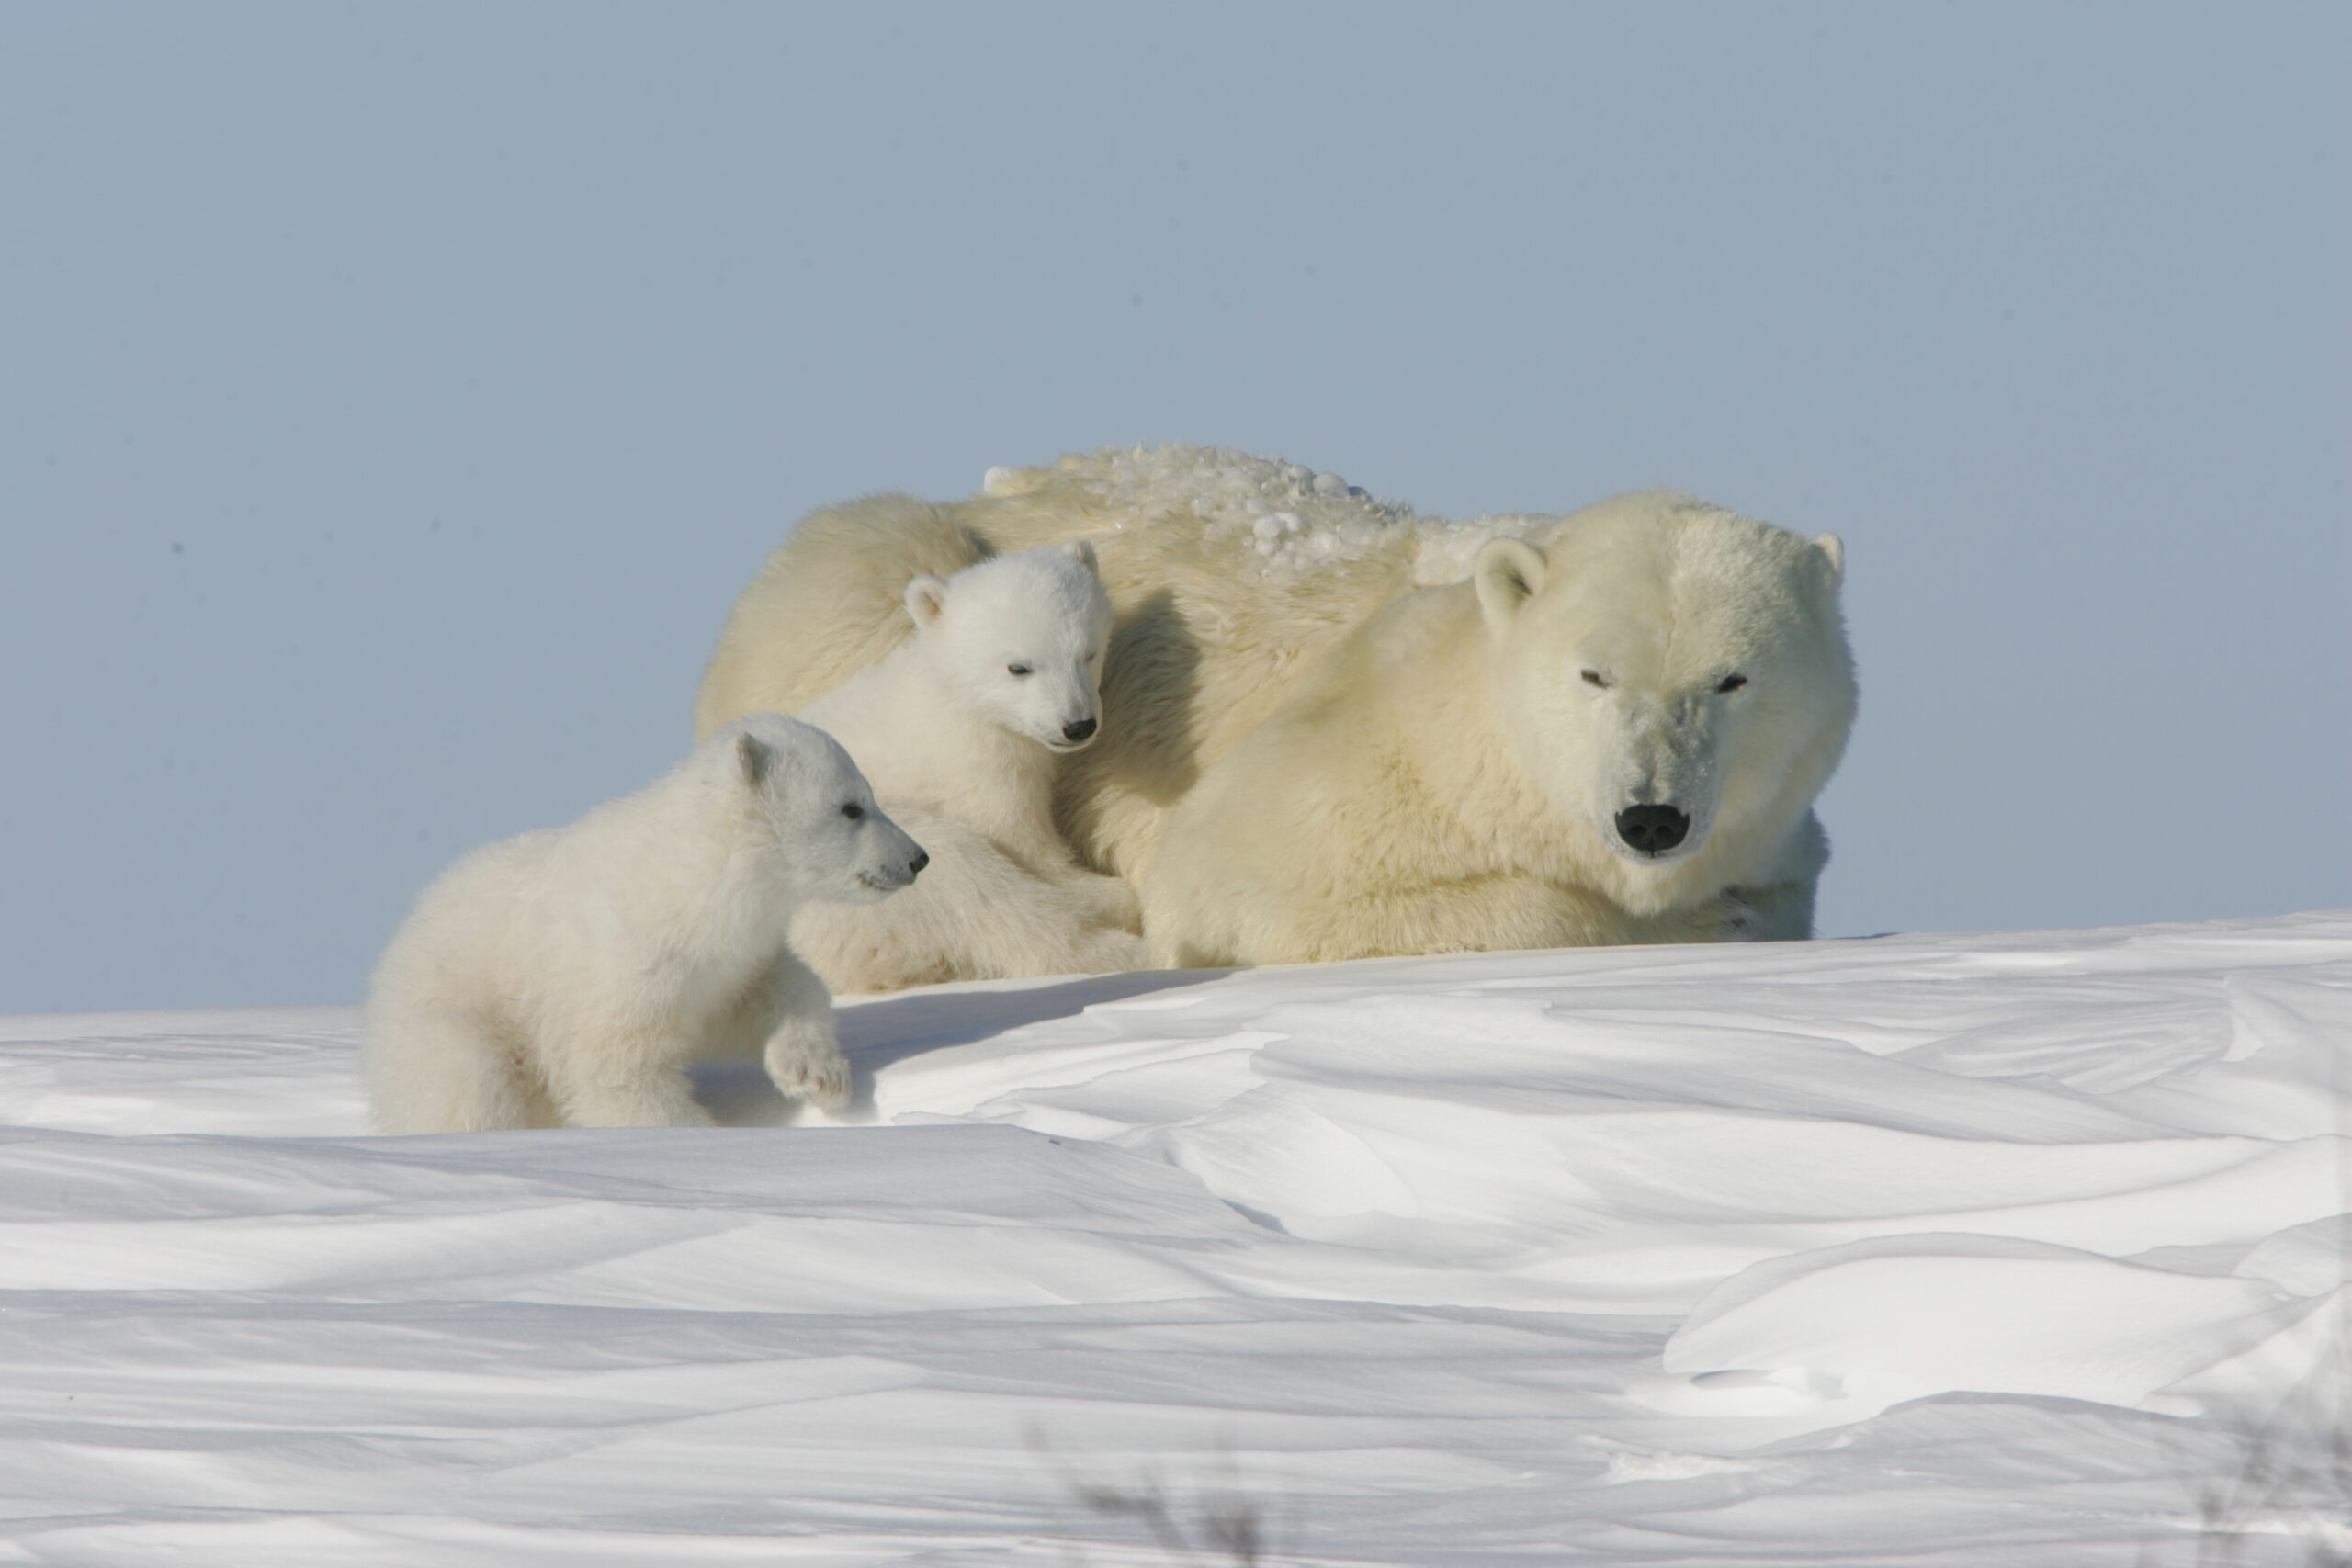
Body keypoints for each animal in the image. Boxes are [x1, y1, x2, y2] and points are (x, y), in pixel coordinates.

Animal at [362, 719, 922, 1133]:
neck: (686, 883)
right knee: (465, 1087)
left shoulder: (725, 961)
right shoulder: (627, 967)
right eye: (851, 807)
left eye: (867, 794)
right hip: (454, 1016)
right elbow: (616, 1073)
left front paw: (816, 1075)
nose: (918, 858)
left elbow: (778, 987)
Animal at [786, 545, 1152, 987]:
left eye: (1089, 652)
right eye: (1018, 667)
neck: (950, 696)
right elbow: (1017, 836)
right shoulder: (967, 763)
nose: (1078, 725)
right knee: (975, 887)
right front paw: (1094, 890)